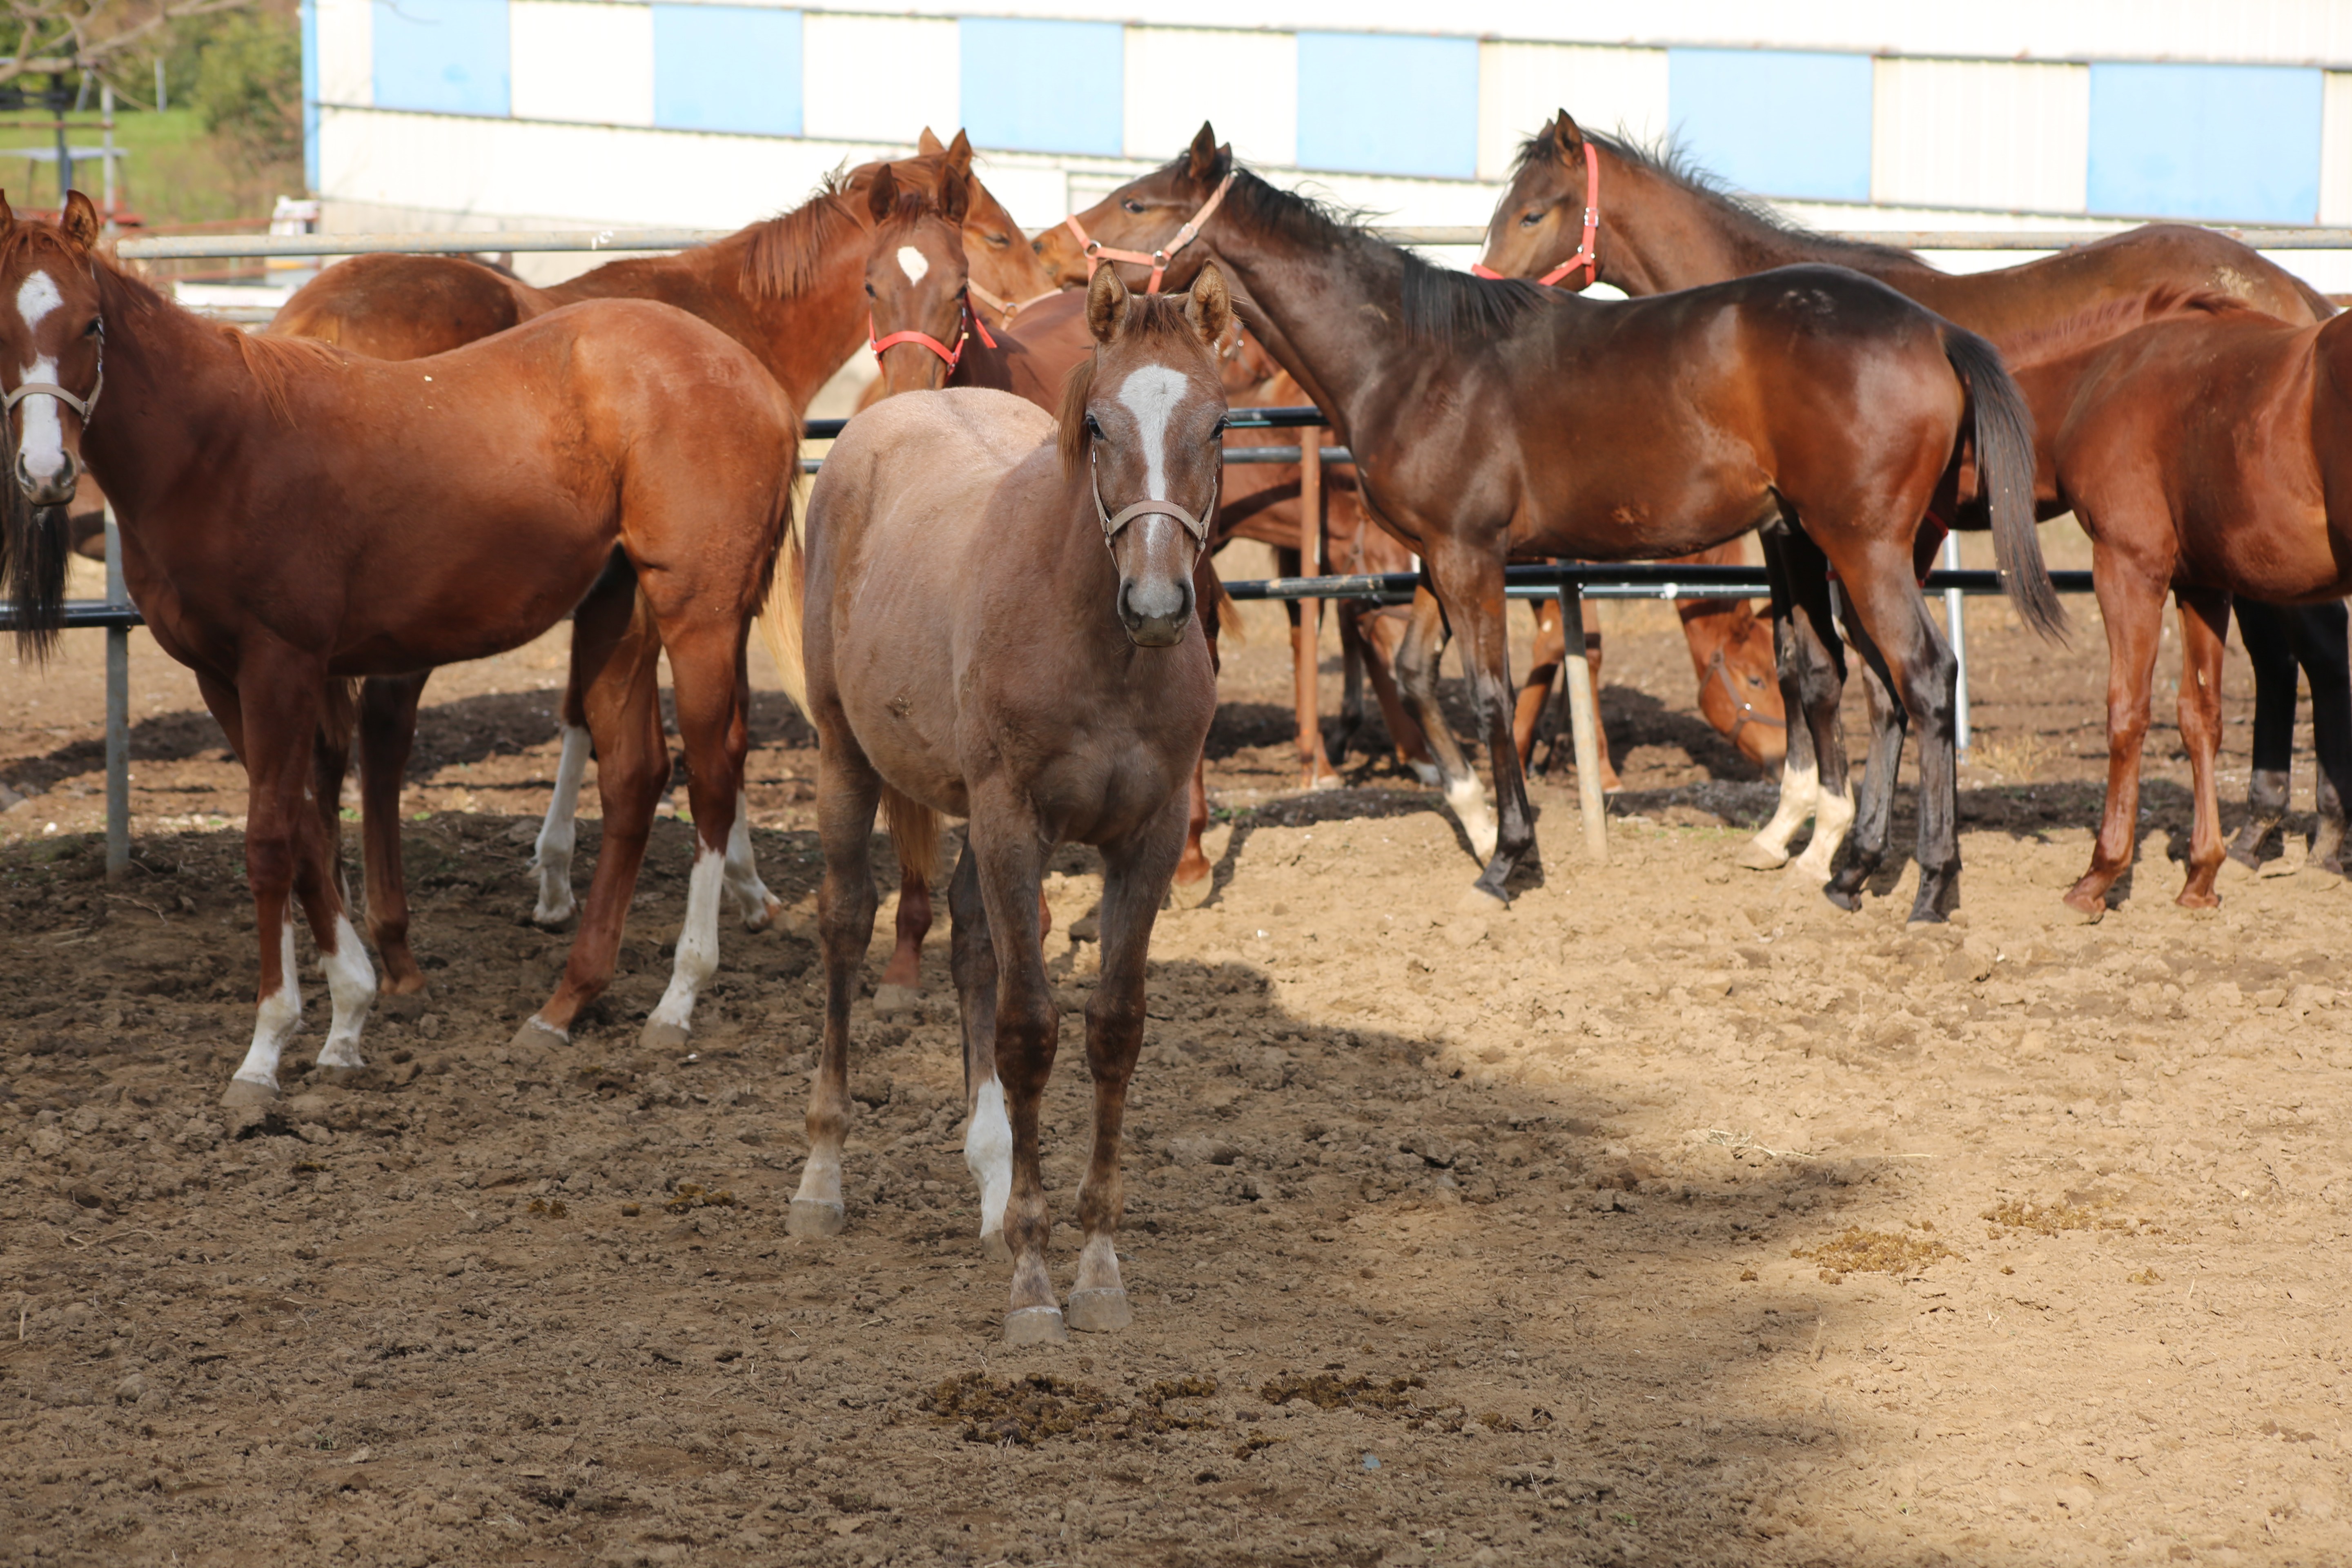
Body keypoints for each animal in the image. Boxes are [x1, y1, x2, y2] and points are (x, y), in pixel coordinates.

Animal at [0, 190, 800, 1105]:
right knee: (635, 776)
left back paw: (678, 999)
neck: (219, 447)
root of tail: (752, 377)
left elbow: (271, 841)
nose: (47, 473)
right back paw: (563, 1006)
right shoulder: (221, 678)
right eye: (0, 325)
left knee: (712, 776)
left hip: (699, 614)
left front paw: (266, 1051)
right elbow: (307, 833)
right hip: (616, 613)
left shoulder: (281, 665)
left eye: (92, 324)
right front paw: (348, 1015)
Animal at [1049, 131, 2060, 931]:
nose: (1059, 256)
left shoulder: (1472, 557)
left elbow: (1492, 692)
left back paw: (1930, 888)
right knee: (1884, 686)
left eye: (1137, 200)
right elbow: (1415, 676)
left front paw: (1509, 860)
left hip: (1864, 546)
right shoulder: (1441, 556)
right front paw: (1478, 818)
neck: (1412, 358)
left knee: (1922, 678)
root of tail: (1933, 330)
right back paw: (1850, 872)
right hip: (1844, 547)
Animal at [1477, 110, 2342, 893]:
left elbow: (1842, 675)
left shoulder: (1840, 541)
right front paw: (1793, 830)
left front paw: (1836, 843)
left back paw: (2310, 837)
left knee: (2313, 653)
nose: (1489, 292)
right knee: (2283, 661)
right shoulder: (1801, 536)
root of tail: (2296, 293)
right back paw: (2267, 833)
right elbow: (1810, 664)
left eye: (1532, 212)